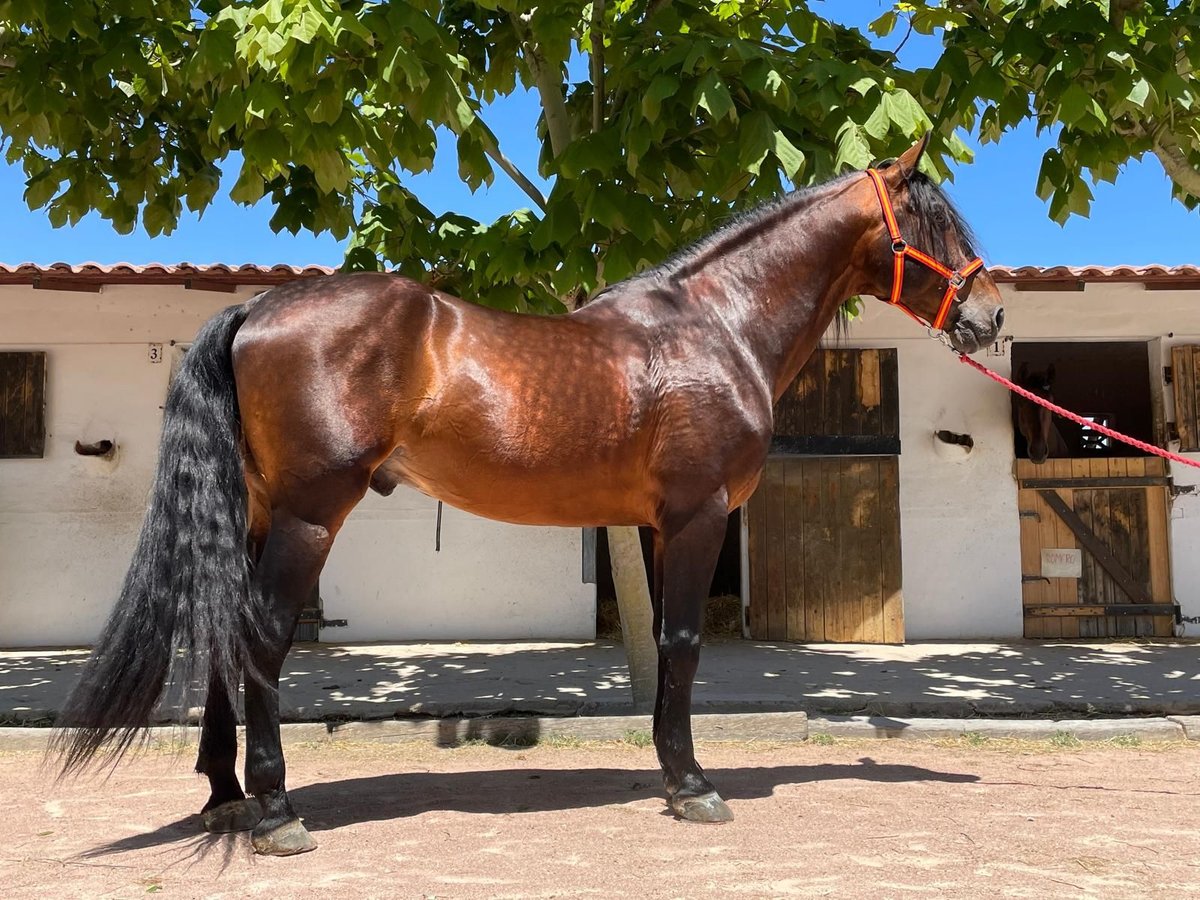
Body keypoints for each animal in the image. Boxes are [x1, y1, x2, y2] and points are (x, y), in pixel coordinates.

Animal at [49, 137, 1003, 854]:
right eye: (932, 221)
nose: (990, 316)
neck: (715, 328)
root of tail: (256, 310)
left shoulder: (662, 526)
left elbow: (669, 647)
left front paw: (671, 774)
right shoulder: (698, 516)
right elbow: (684, 643)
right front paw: (695, 786)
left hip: (253, 514)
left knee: (220, 633)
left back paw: (224, 798)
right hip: (309, 516)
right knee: (257, 637)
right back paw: (277, 813)